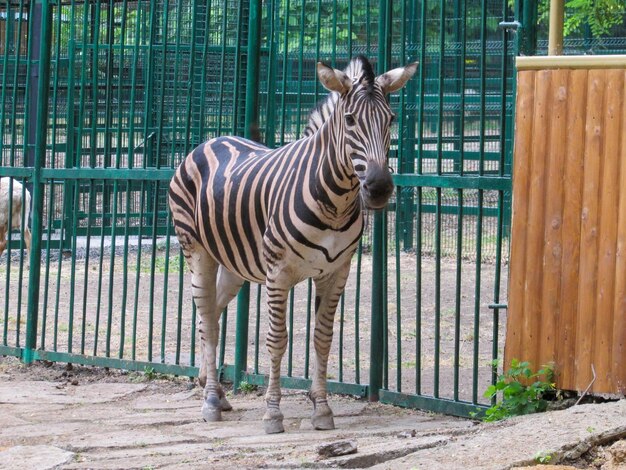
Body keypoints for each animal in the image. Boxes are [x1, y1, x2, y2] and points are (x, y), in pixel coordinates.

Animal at [168, 55, 416, 434]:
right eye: (350, 119)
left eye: (390, 119)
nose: (379, 188)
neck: (336, 201)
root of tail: (210, 140)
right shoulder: (278, 272)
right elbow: (277, 340)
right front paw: (273, 413)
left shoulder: (336, 272)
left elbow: (323, 338)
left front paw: (322, 410)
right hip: (197, 251)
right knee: (208, 320)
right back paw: (210, 401)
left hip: (235, 264)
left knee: (211, 314)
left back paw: (215, 391)